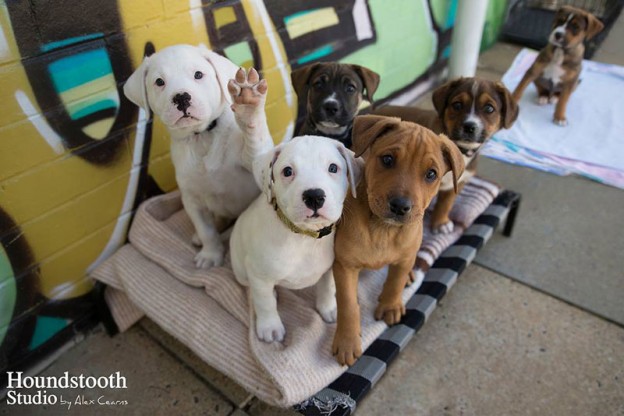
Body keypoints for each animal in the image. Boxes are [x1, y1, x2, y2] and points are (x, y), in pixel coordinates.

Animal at [123, 44, 272, 268]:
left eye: (198, 75)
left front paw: (248, 106)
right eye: (159, 82)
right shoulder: (192, 199)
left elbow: (254, 140)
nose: (181, 97)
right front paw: (210, 254)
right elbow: (206, 230)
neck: (202, 136)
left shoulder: (255, 162)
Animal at [232, 135, 364, 342]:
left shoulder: (330, 267)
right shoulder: (259, 274)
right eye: (288, 171)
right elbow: (264, 302)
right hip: (241, 269)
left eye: (333, 168)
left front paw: (329, 308)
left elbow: (328, 288)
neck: (303, 237)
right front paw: (270, 326)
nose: (314, 196)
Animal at [332, 115, 464, 366]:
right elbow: (348, 304)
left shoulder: (404, 257)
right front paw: (347, 341)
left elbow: (395, 280)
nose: (400, 206)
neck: (383, 230)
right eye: (387, 159)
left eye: (431, 174)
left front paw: (391, 305)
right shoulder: (344, 265)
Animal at [372, 78, 520, 234]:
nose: (469, 126)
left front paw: (440, 223)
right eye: (457, 105)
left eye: (489, 109)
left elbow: (446, 204)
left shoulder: (456, 184)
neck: (460, 148)